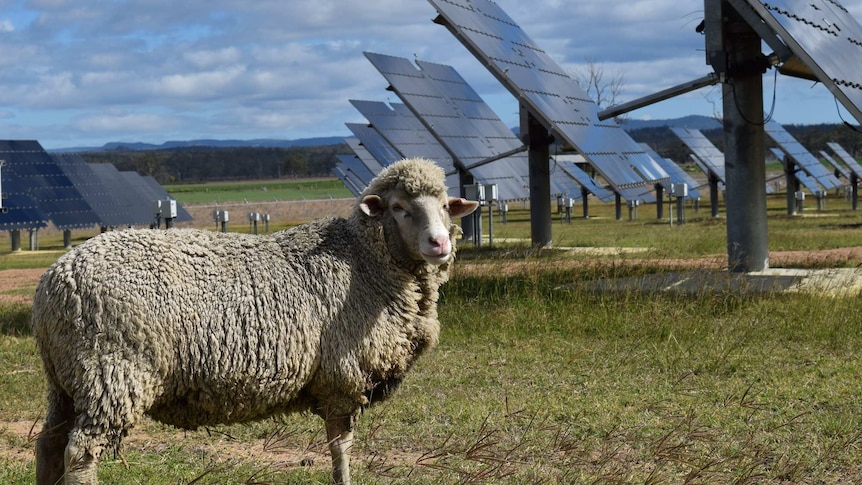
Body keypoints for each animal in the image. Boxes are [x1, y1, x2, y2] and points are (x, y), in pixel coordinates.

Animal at [32, 157, 480, 482]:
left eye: (445, 206)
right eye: (399, 207)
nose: (439, 243)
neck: (363, 261)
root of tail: (55, 282)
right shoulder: (342, 377)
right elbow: (341, 449)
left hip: (67, 381)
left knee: (49, 445)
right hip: (113, 373)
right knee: (80, 453)